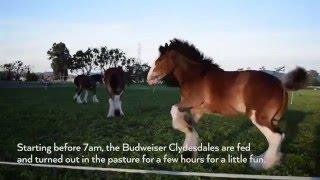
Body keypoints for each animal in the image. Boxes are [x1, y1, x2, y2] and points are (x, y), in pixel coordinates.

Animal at [147, 38, 308, 171]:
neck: (196, 76)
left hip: (258, 117)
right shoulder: (196, 110)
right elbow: (190, 126)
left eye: (159, 60)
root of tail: (281, 84)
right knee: (279, 137)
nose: (148, 79)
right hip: (272, 119)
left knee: (276, 137)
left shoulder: (191, 102)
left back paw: (261, 164)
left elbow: (174, 111)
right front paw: (188, 154)